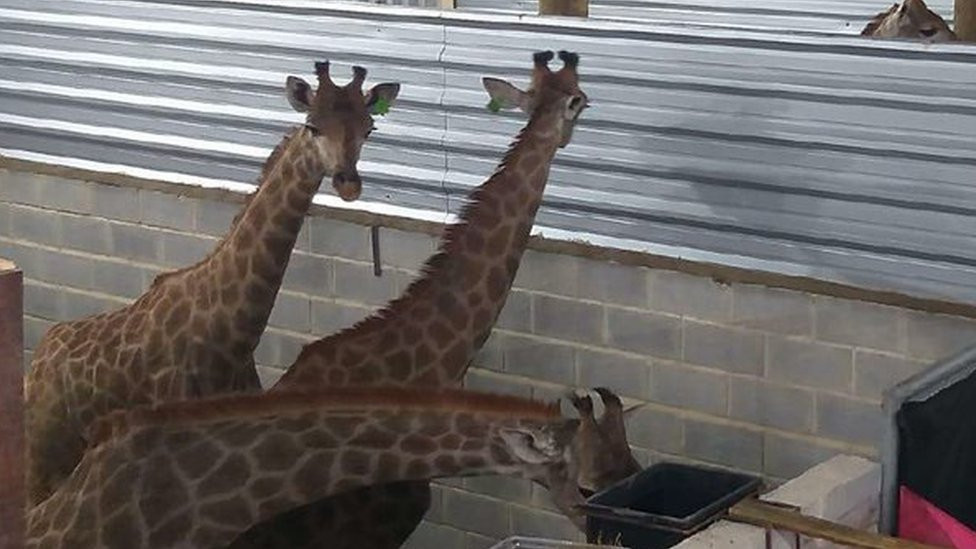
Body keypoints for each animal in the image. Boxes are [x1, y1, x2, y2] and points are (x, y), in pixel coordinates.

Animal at [24, 60, 401, 505]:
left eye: (368, 128)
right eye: (312, 125)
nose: (348, 183)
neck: (231, 338)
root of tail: (36, 364)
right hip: (43, 453)